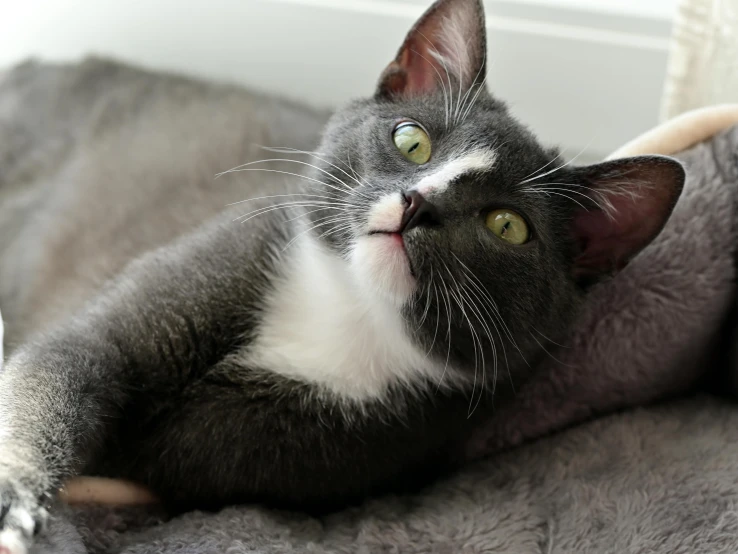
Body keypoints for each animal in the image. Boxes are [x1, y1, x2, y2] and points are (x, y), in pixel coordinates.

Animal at [0, 0, 680, 548]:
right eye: (412, 141)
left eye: (508, 225)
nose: (418, 204)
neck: (350, 305)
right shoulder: (237, 248)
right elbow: (59, 370)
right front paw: (15, 495)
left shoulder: (360, 437)